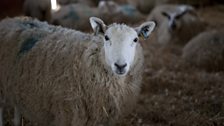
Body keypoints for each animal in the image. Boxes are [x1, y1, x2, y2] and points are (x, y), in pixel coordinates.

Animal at [0, 16, 155, 126]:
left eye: (135, 39)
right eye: (106, 37)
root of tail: (9, 19)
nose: (120, 65)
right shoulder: (67, 114)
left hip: (16, 84)